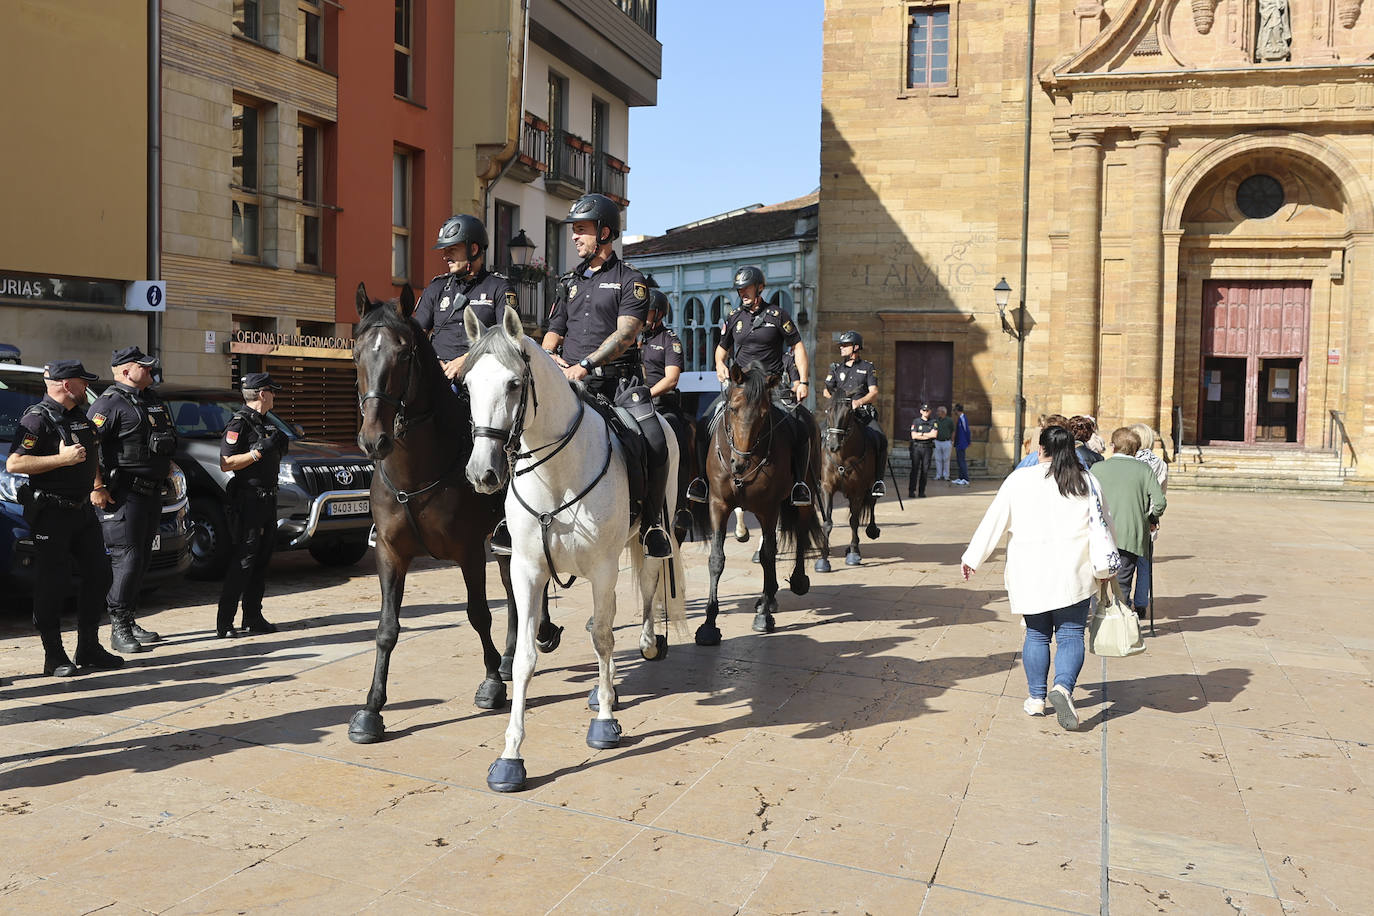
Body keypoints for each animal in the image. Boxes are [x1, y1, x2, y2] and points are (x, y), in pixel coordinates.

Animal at [348, 284, 557, 747]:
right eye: (356, 353)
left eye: (404, 353)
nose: (374, 440)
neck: (416, 468)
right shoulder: (390, 552)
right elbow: (386, 628)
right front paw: (371, 709)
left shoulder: (468, 550)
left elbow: (478, 613)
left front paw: (492, 684)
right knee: (513, 593)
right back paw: (511, 655)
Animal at [461, 304, 687, 791]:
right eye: (467, 385)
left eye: (514, 384)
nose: (482, 473)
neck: (557, 474)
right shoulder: (527, 571)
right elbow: (525, 657)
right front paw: (510, 756)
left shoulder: (602, 568)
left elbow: (602, 638)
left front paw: (604, 724)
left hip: (648, 538)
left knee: (644, 589)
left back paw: (645, 644)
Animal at [697, 357, 813, 645]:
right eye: (733, 408)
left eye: (763, 415)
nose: (740, 463)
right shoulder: (718, 504)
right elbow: (717, 559)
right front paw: (709, 624)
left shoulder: (768, 508)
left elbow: (768, 556)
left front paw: (764, 617)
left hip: (802, 496)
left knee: (801, 532)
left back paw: (794, 582)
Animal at [813, 395, 879, 574]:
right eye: (828, 410)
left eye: (849, 412)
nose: (833, 445)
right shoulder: (827, 488)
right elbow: (827, 522)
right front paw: (823, 559)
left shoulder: (858, 490)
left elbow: (854, 521)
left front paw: (854, 554)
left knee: (871, 504)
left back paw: (870, 532)